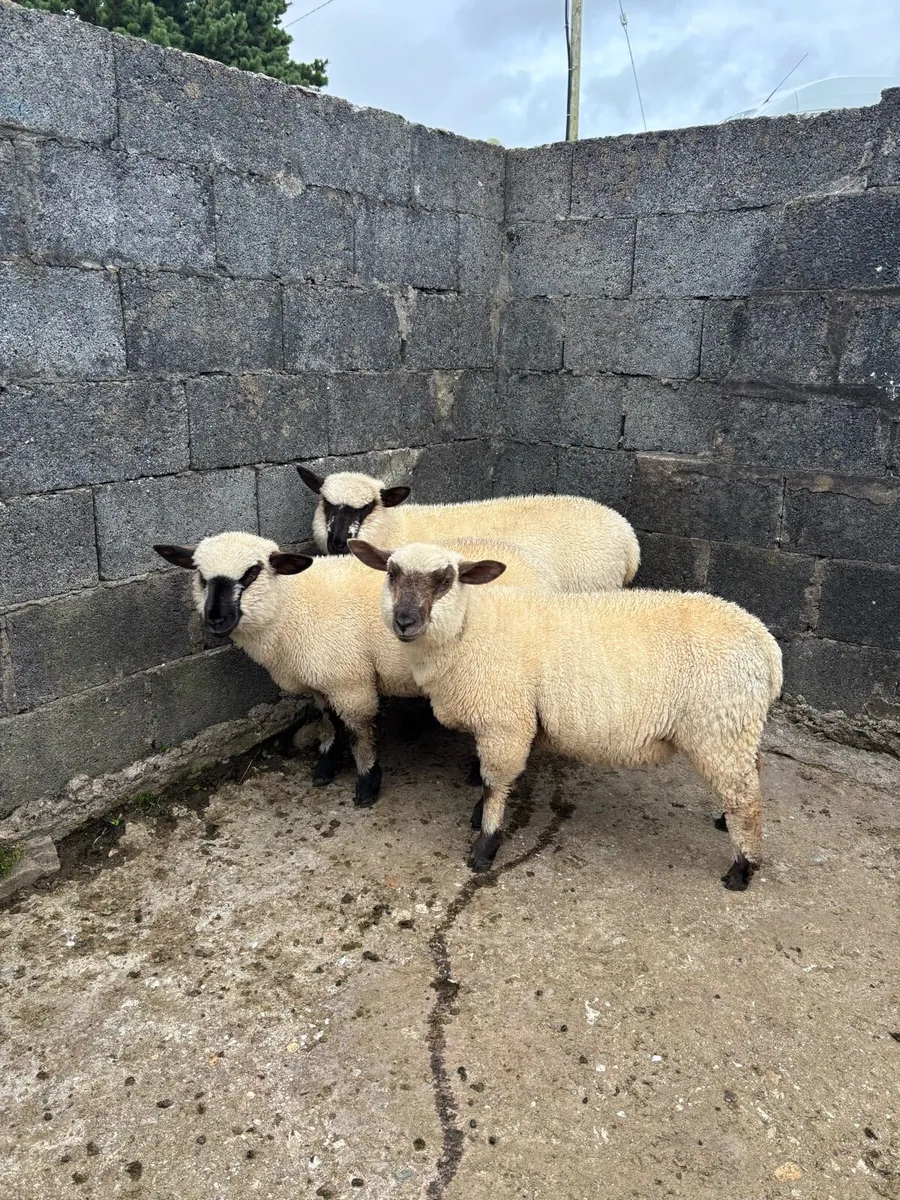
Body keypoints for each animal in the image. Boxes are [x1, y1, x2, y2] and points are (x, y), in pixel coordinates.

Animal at [152, 531, 556, 807]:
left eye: (252, 573)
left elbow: (358, 731)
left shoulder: (349, 680)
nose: (215, 619)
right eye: (200, 576)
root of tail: (530, 565)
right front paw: (325, 768)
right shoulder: (320, 680)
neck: (291, 607)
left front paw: (367, 784)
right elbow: (329, 722)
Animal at [347, 538, 783, 891]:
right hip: (737, 727)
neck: (470, 629)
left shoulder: (505, 722)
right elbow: (490, 779)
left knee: (747, 799)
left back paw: (741, 869)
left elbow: (493, 783)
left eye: (446, 579)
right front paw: (479, 817)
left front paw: (484, 846)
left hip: (719, 728)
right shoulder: (499, 725)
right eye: (391, 573)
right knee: (752, 774)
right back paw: (724, 822)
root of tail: (766, 644)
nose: (405, 621)